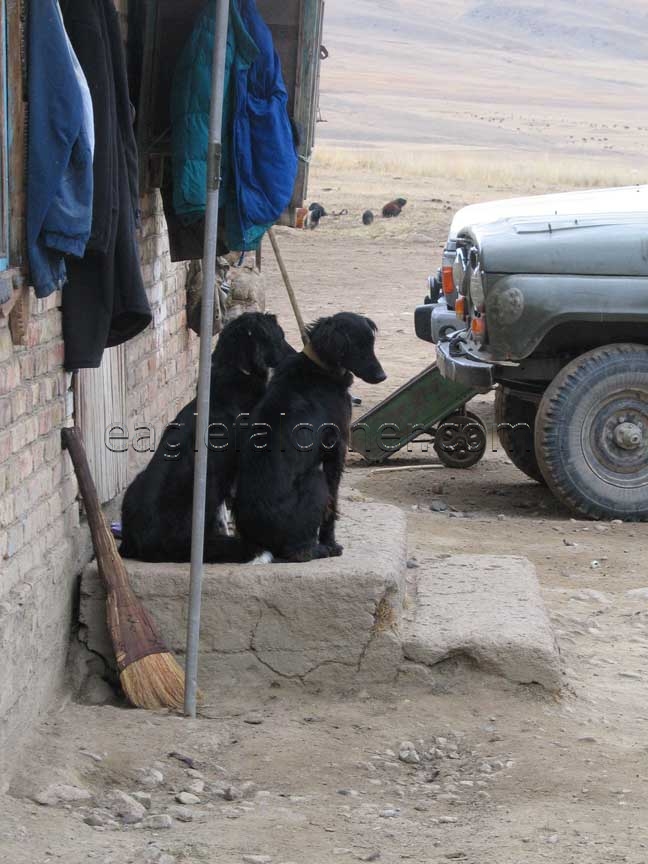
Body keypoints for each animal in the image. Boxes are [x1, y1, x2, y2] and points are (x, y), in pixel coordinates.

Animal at [210, 314, 388, 564]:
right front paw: (331, 543)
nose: (382, 376)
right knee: (297, 552)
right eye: (356, 346)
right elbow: (332, 504)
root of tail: (257, 541)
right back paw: (319, 549)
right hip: (315, 480)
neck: (319, 367)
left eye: (371, 343)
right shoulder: (337, 447)